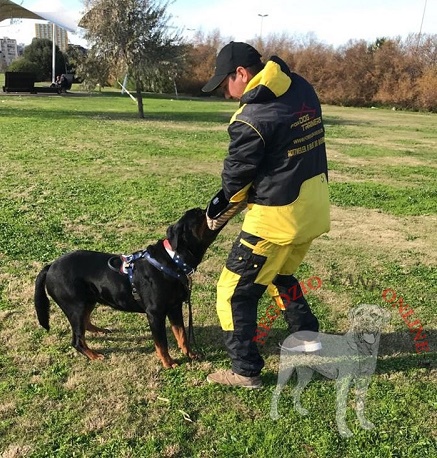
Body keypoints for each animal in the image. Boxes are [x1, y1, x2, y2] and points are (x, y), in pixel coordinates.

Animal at [34, 208, 218, 368]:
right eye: (199, 214)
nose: (208, 209)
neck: (173, 260)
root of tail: (50, 267)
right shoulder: (155, 314)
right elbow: (162, 343)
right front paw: (168, 363)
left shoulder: (175, 308)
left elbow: (182, 335)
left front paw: (190, 354)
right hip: (75, 307)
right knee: (77, 340)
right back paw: (94, 355)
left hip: (89, 300)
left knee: (85, 323)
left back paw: (98, 331)